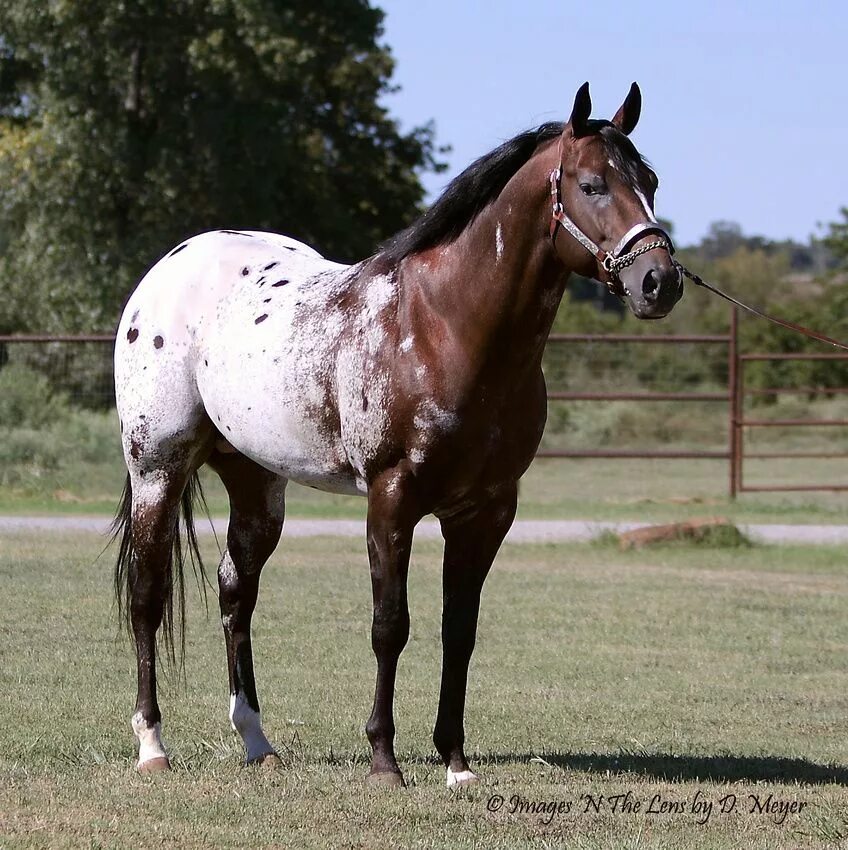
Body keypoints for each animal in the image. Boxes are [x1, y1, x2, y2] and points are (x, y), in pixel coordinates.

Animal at [112, 83, 684, 784]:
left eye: (650, 181)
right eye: (593, 184)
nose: (659, 282)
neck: (444, 327)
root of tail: (170, 267)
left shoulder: (486, 511)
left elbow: (458, 630)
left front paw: (456, 761)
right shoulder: (392, 498)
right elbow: (391, 624)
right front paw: (384, 758)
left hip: (255, 483)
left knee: (235, 590)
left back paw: (257, 742)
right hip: (157, 468)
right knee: (148, 593)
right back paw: (152, 746)